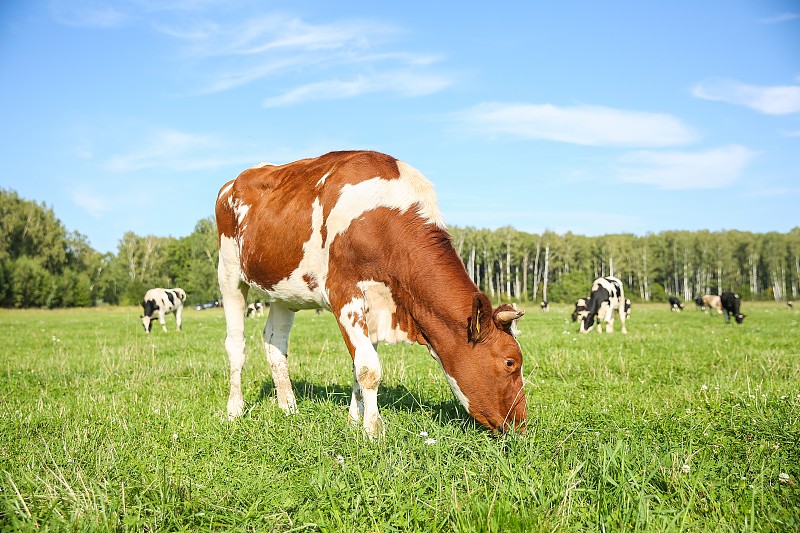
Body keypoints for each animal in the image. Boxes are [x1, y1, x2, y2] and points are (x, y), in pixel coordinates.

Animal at [214, 150, 524, 436]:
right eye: (510, 362)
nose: (521, 424)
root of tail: (233, 182)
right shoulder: (344, 294)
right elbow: (369, 368)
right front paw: (373, 430)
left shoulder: (376, 305)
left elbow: (358, 365)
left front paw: (355, 420)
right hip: (229, 273)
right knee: (236, 345)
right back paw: (234, 410)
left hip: (283, 289)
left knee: (275, 343)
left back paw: (288, 407)